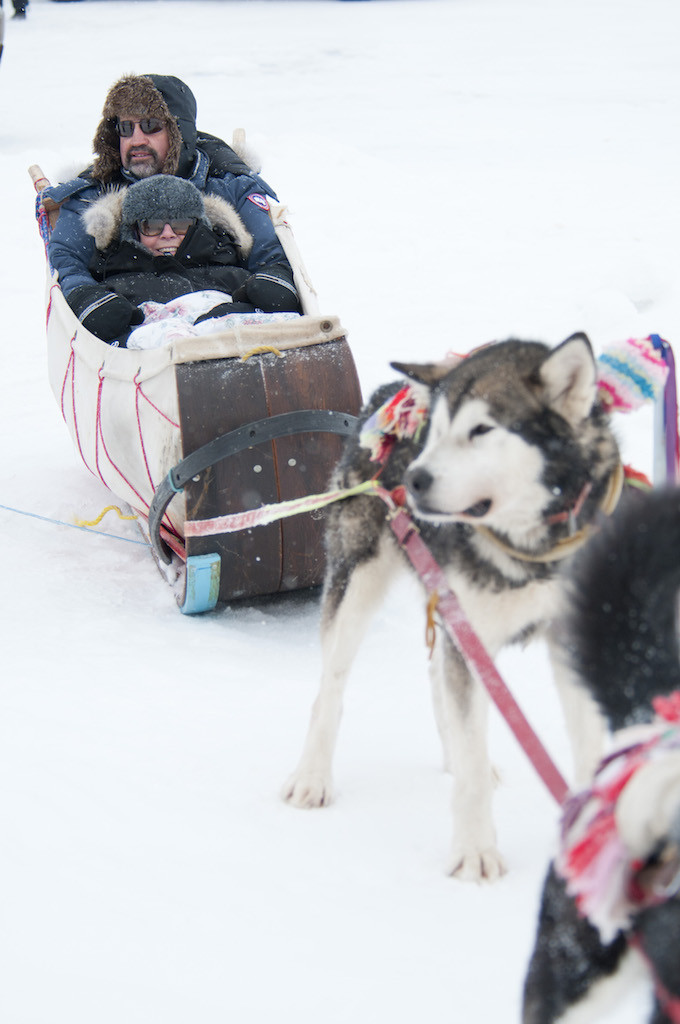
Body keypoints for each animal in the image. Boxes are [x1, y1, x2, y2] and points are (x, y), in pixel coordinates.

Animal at [280, 333, 622, 880]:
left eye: (481, 429)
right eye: (437, 431)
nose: (415, 479)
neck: (529, 548)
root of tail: (385, 393)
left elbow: (589, 749)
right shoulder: (471, 640)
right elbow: (473, 770)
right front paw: (475, 850)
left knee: (438, 683)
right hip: (358, 582)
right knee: (331, 687)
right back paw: (312, 776)